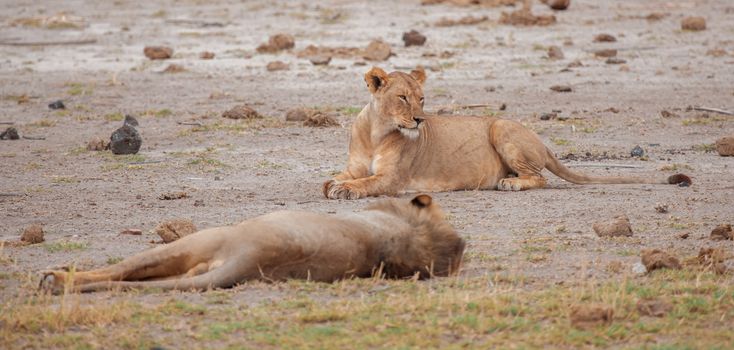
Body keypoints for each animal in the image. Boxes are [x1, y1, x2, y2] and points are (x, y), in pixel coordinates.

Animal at [322, 66, 688, 200]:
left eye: (422, 99)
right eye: (402, 97)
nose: (420, 120)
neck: (378, 131)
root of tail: (543, 141)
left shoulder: (394, 180)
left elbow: (366, 183)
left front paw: (346, 190)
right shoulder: (356, 165)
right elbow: (337, 177)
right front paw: (334, 184)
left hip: (501, 127)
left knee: (540, 178)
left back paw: (510, 183)